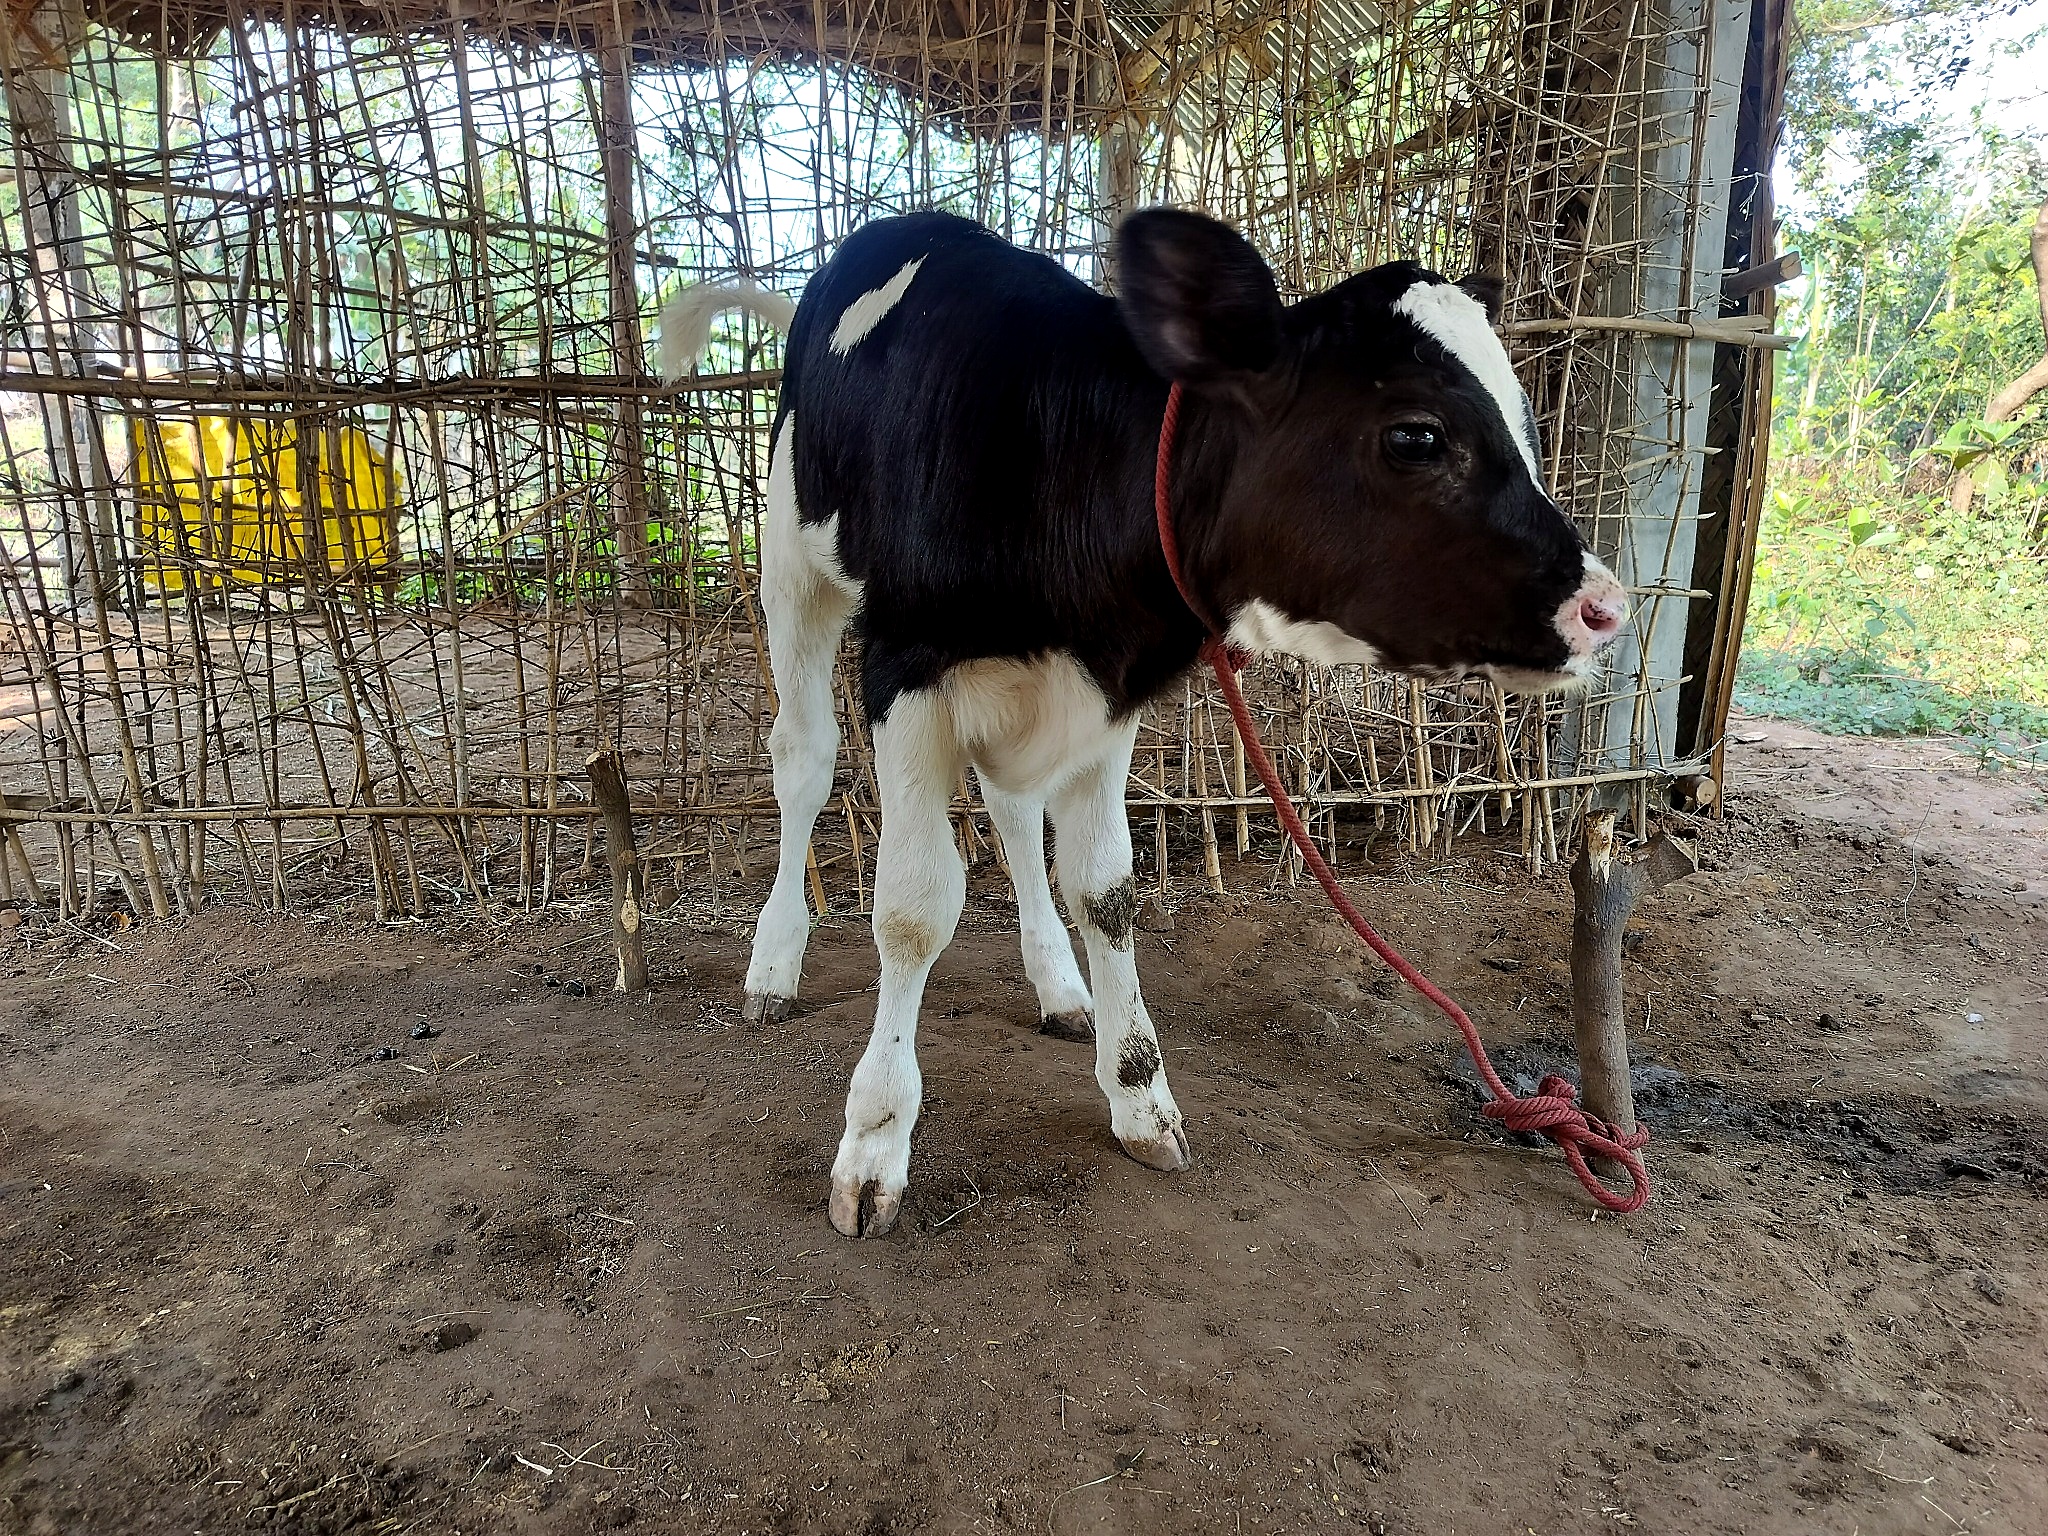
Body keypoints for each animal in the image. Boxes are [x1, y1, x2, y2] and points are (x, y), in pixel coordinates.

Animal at [661, 209, 1628, 1238]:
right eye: (1415, 435)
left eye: (1525, 426)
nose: (1606, 609)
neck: (1053, 460)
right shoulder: (904, 667)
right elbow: (914, 908)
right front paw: (876, 1140)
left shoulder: (1110, 692)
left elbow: (1106, 891)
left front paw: (1137, 1092)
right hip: (789, 563)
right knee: (803, 760)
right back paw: (773, 963)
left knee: (1010, 806)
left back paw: (1058, 983)